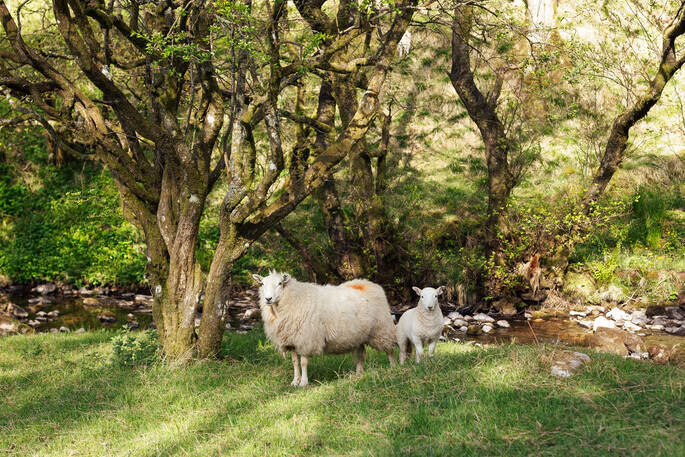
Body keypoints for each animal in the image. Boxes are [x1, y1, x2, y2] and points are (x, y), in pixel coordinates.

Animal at [252, 271, 397, 387]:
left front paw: (303, 383)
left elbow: (303, 362)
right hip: (359, 335)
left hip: (382, 328)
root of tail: (368, 283)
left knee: (389, 350)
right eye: (262, 284)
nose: (268, 298)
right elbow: (295, 363)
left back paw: (393, 367)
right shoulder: (291, 340)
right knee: (361, 355)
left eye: (280, 283)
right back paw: (358, 374)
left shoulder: (306, 339)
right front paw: (295, 381)